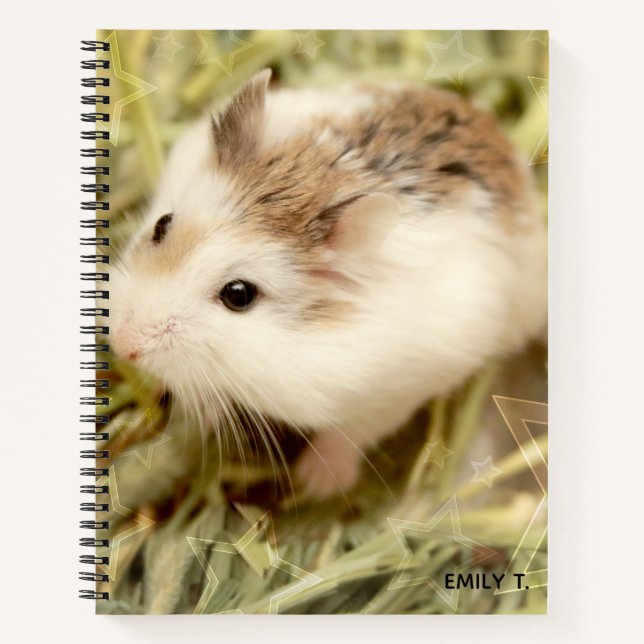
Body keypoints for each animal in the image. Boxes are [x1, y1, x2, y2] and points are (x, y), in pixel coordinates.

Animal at [110, 69, 547, 498]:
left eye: (239, 295)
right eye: (161, 225)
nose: (122, 345)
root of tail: (492, 131)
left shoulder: (391, 394)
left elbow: (349, 435)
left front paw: (313, 483)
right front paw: (203, 412)